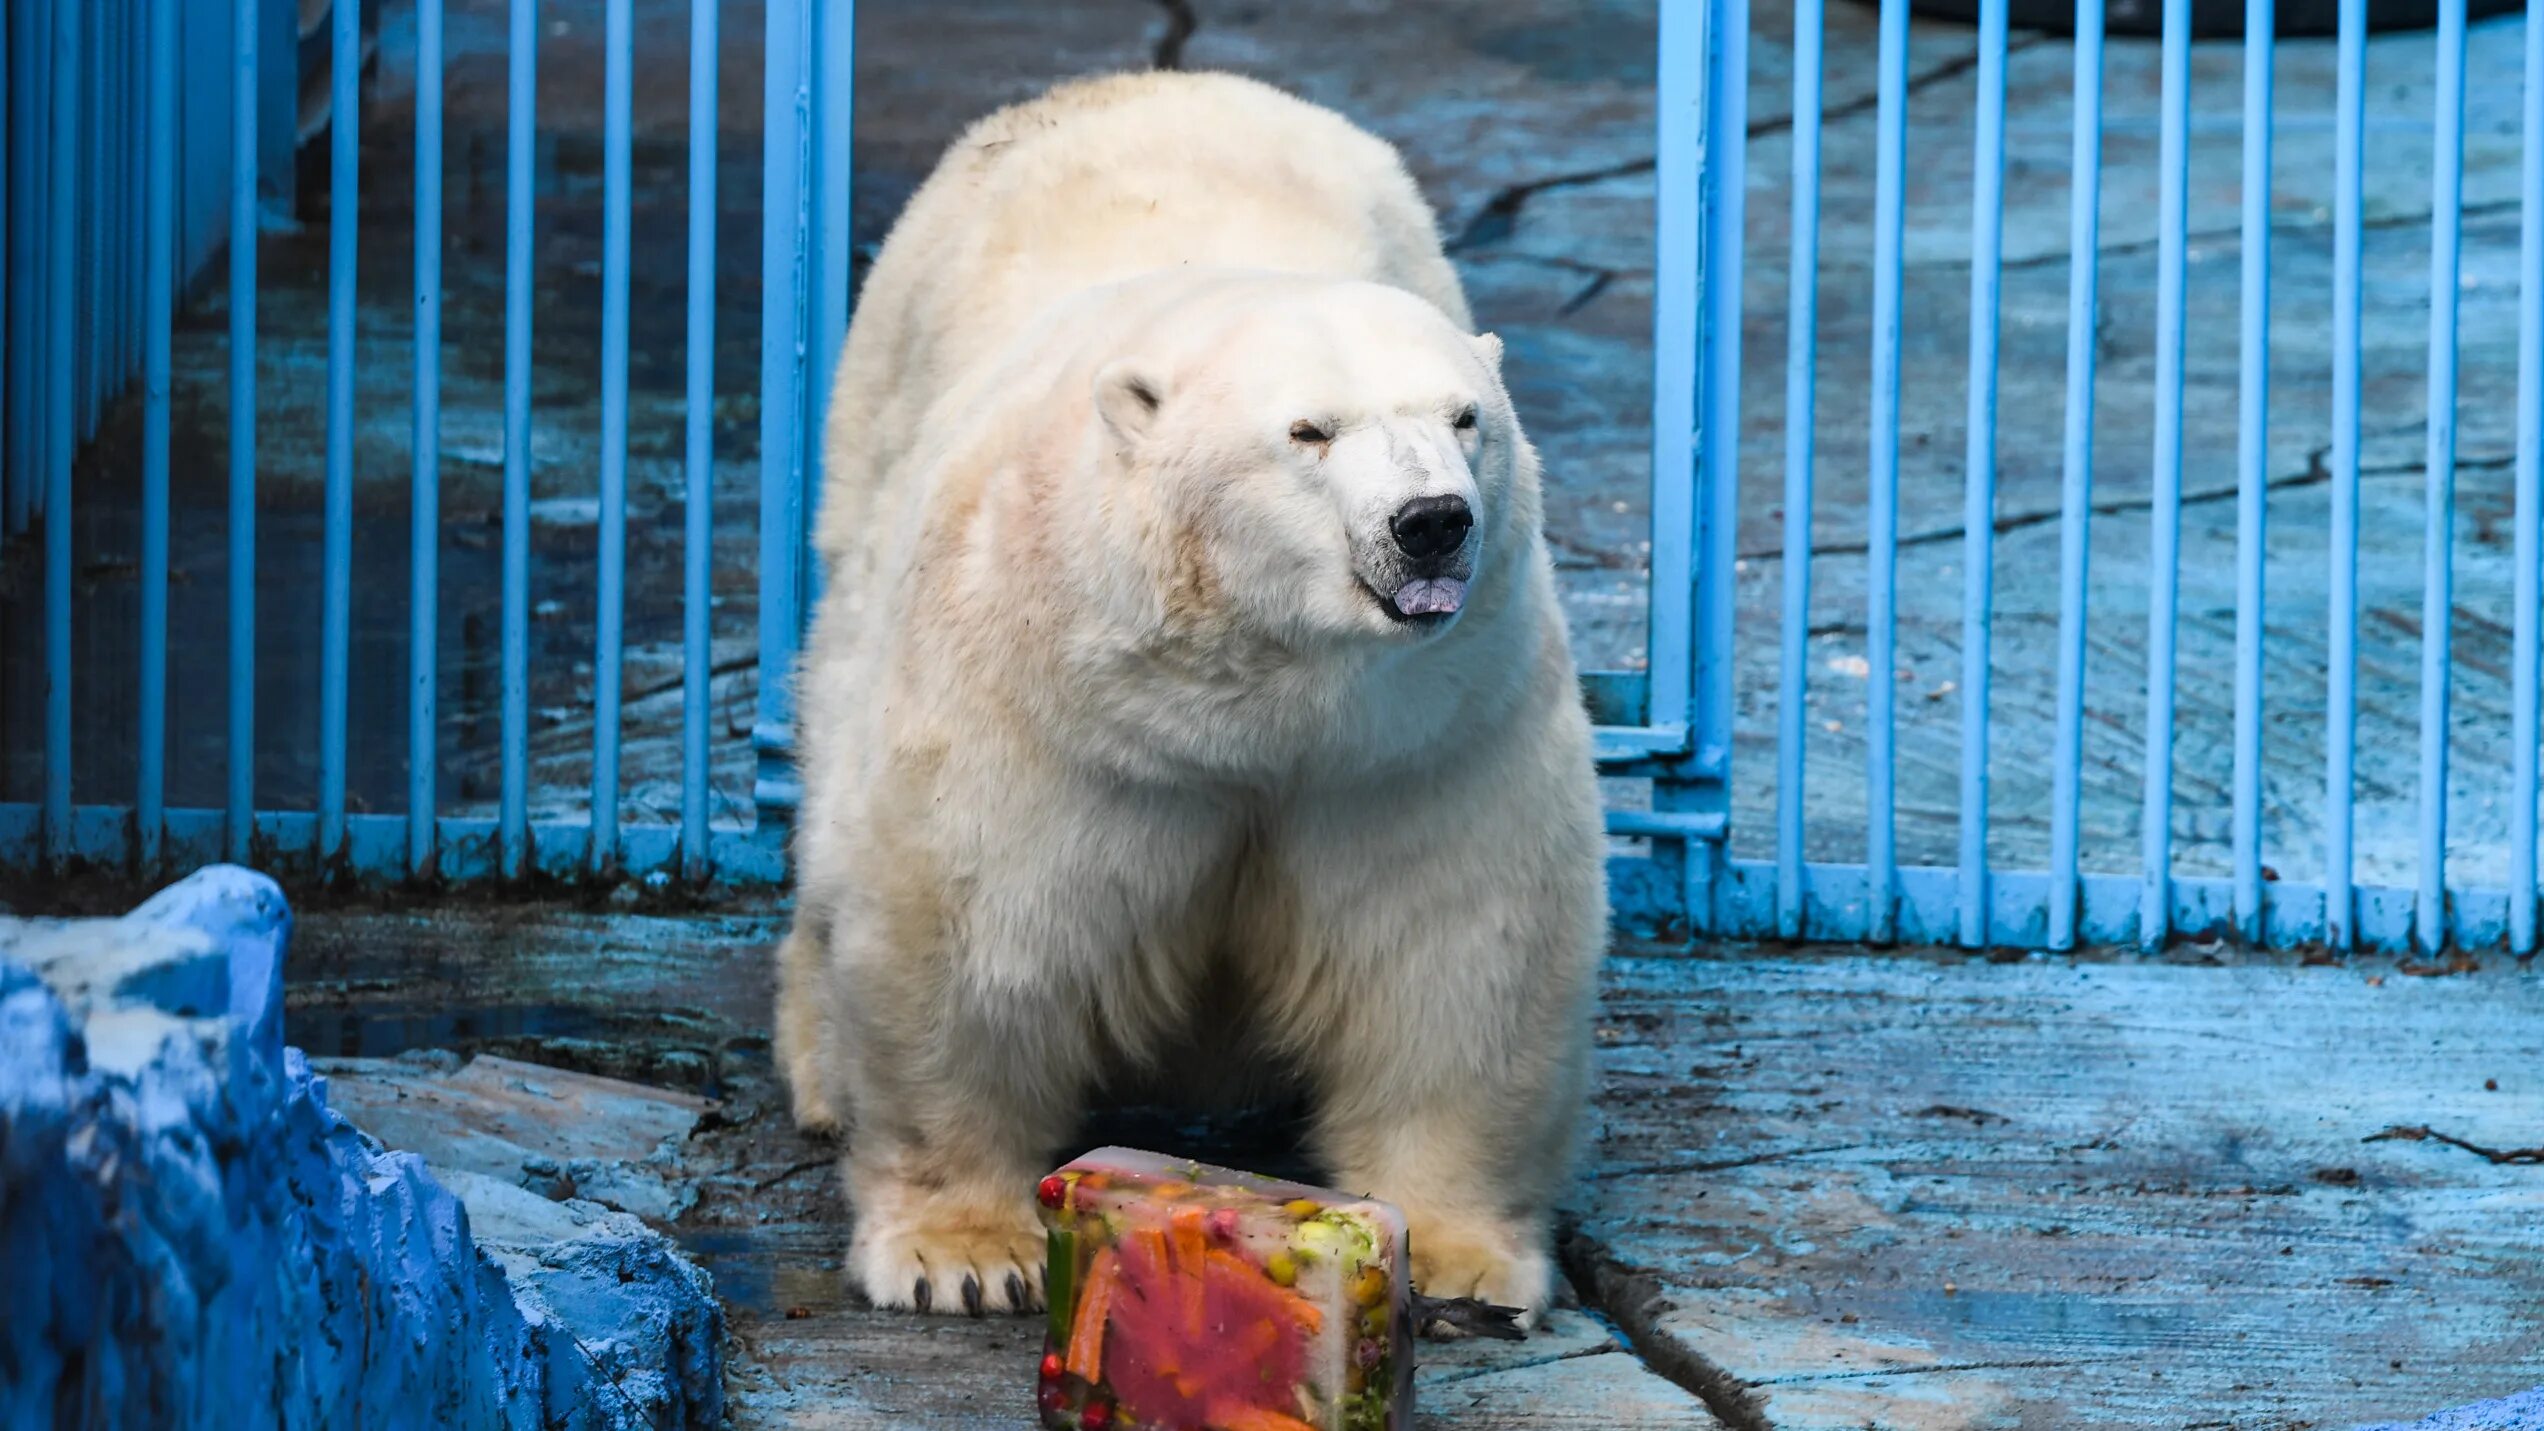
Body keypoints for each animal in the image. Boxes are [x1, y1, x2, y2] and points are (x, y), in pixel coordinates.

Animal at [773, 72, 1607, 1324]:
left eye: (1467, 418)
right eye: (1310, 431)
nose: (1432, 521)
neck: (1255, 701)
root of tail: (1151, 83)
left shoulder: (1422, 738)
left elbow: (1456, 954)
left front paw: (1464, 1261)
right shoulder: (1050, 707)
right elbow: (973, 938)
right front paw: (961, 1253)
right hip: (872, 449)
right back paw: (820, 1066)